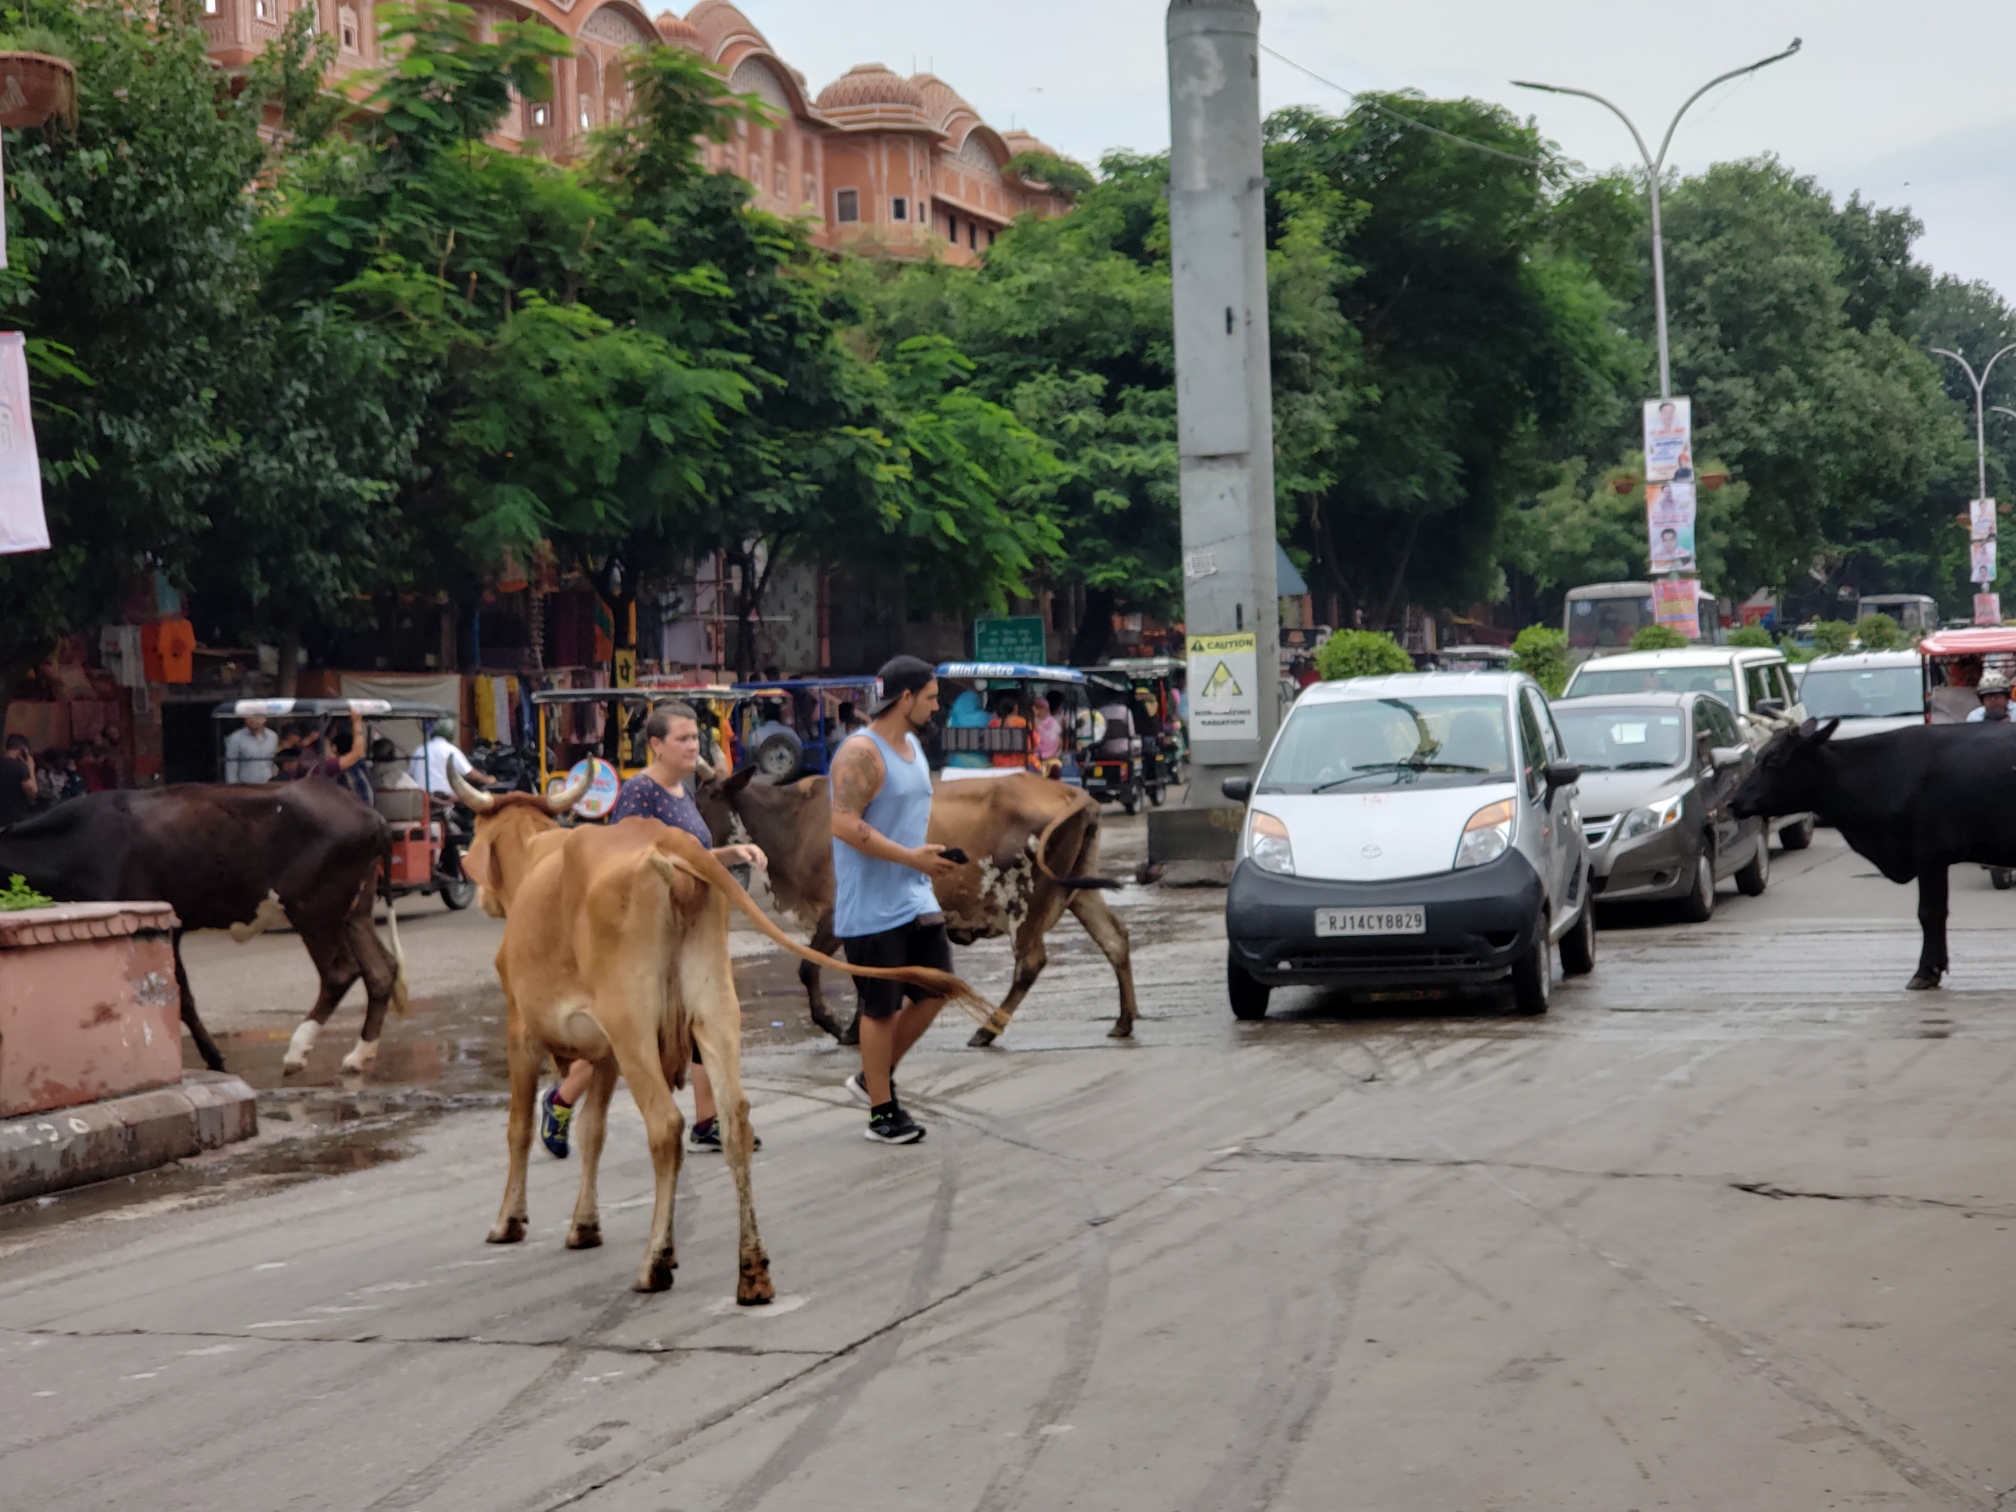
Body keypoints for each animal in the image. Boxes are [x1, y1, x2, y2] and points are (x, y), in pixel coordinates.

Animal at [0, 786, 405, 1072]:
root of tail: (368, 812)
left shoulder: (161, 921)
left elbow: (181, 998)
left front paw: (214, 1057)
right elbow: (182, 996)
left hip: (313, 909)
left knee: (341, 972)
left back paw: (297, 1052)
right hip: (354, 912)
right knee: (381, 970)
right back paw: (360, 1055)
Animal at [459, 770, 991, 1306]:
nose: (480, 899)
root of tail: (667, 842)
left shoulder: (524, 1030)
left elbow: (519, 1129)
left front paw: (509, 1221)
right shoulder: (604, 1050)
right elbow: (594, 1132)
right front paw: (584, 1225)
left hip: (633, 1025)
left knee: (666, 1127)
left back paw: (657, 1262)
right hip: (714, 1013)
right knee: (736, 1121)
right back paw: (752, 1272)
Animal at [697, 774, 1137, 1048]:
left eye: (705, 801)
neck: (793, 822)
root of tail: (1073, 794)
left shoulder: (835, 916)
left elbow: (811, 970)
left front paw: (838, 1026)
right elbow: (864, 976)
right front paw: (858, 1029)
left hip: (1026, 900)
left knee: (1031, 963)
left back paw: (987, 1030)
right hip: (1078, 890)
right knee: (1115, 939)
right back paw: (1124, 1020)